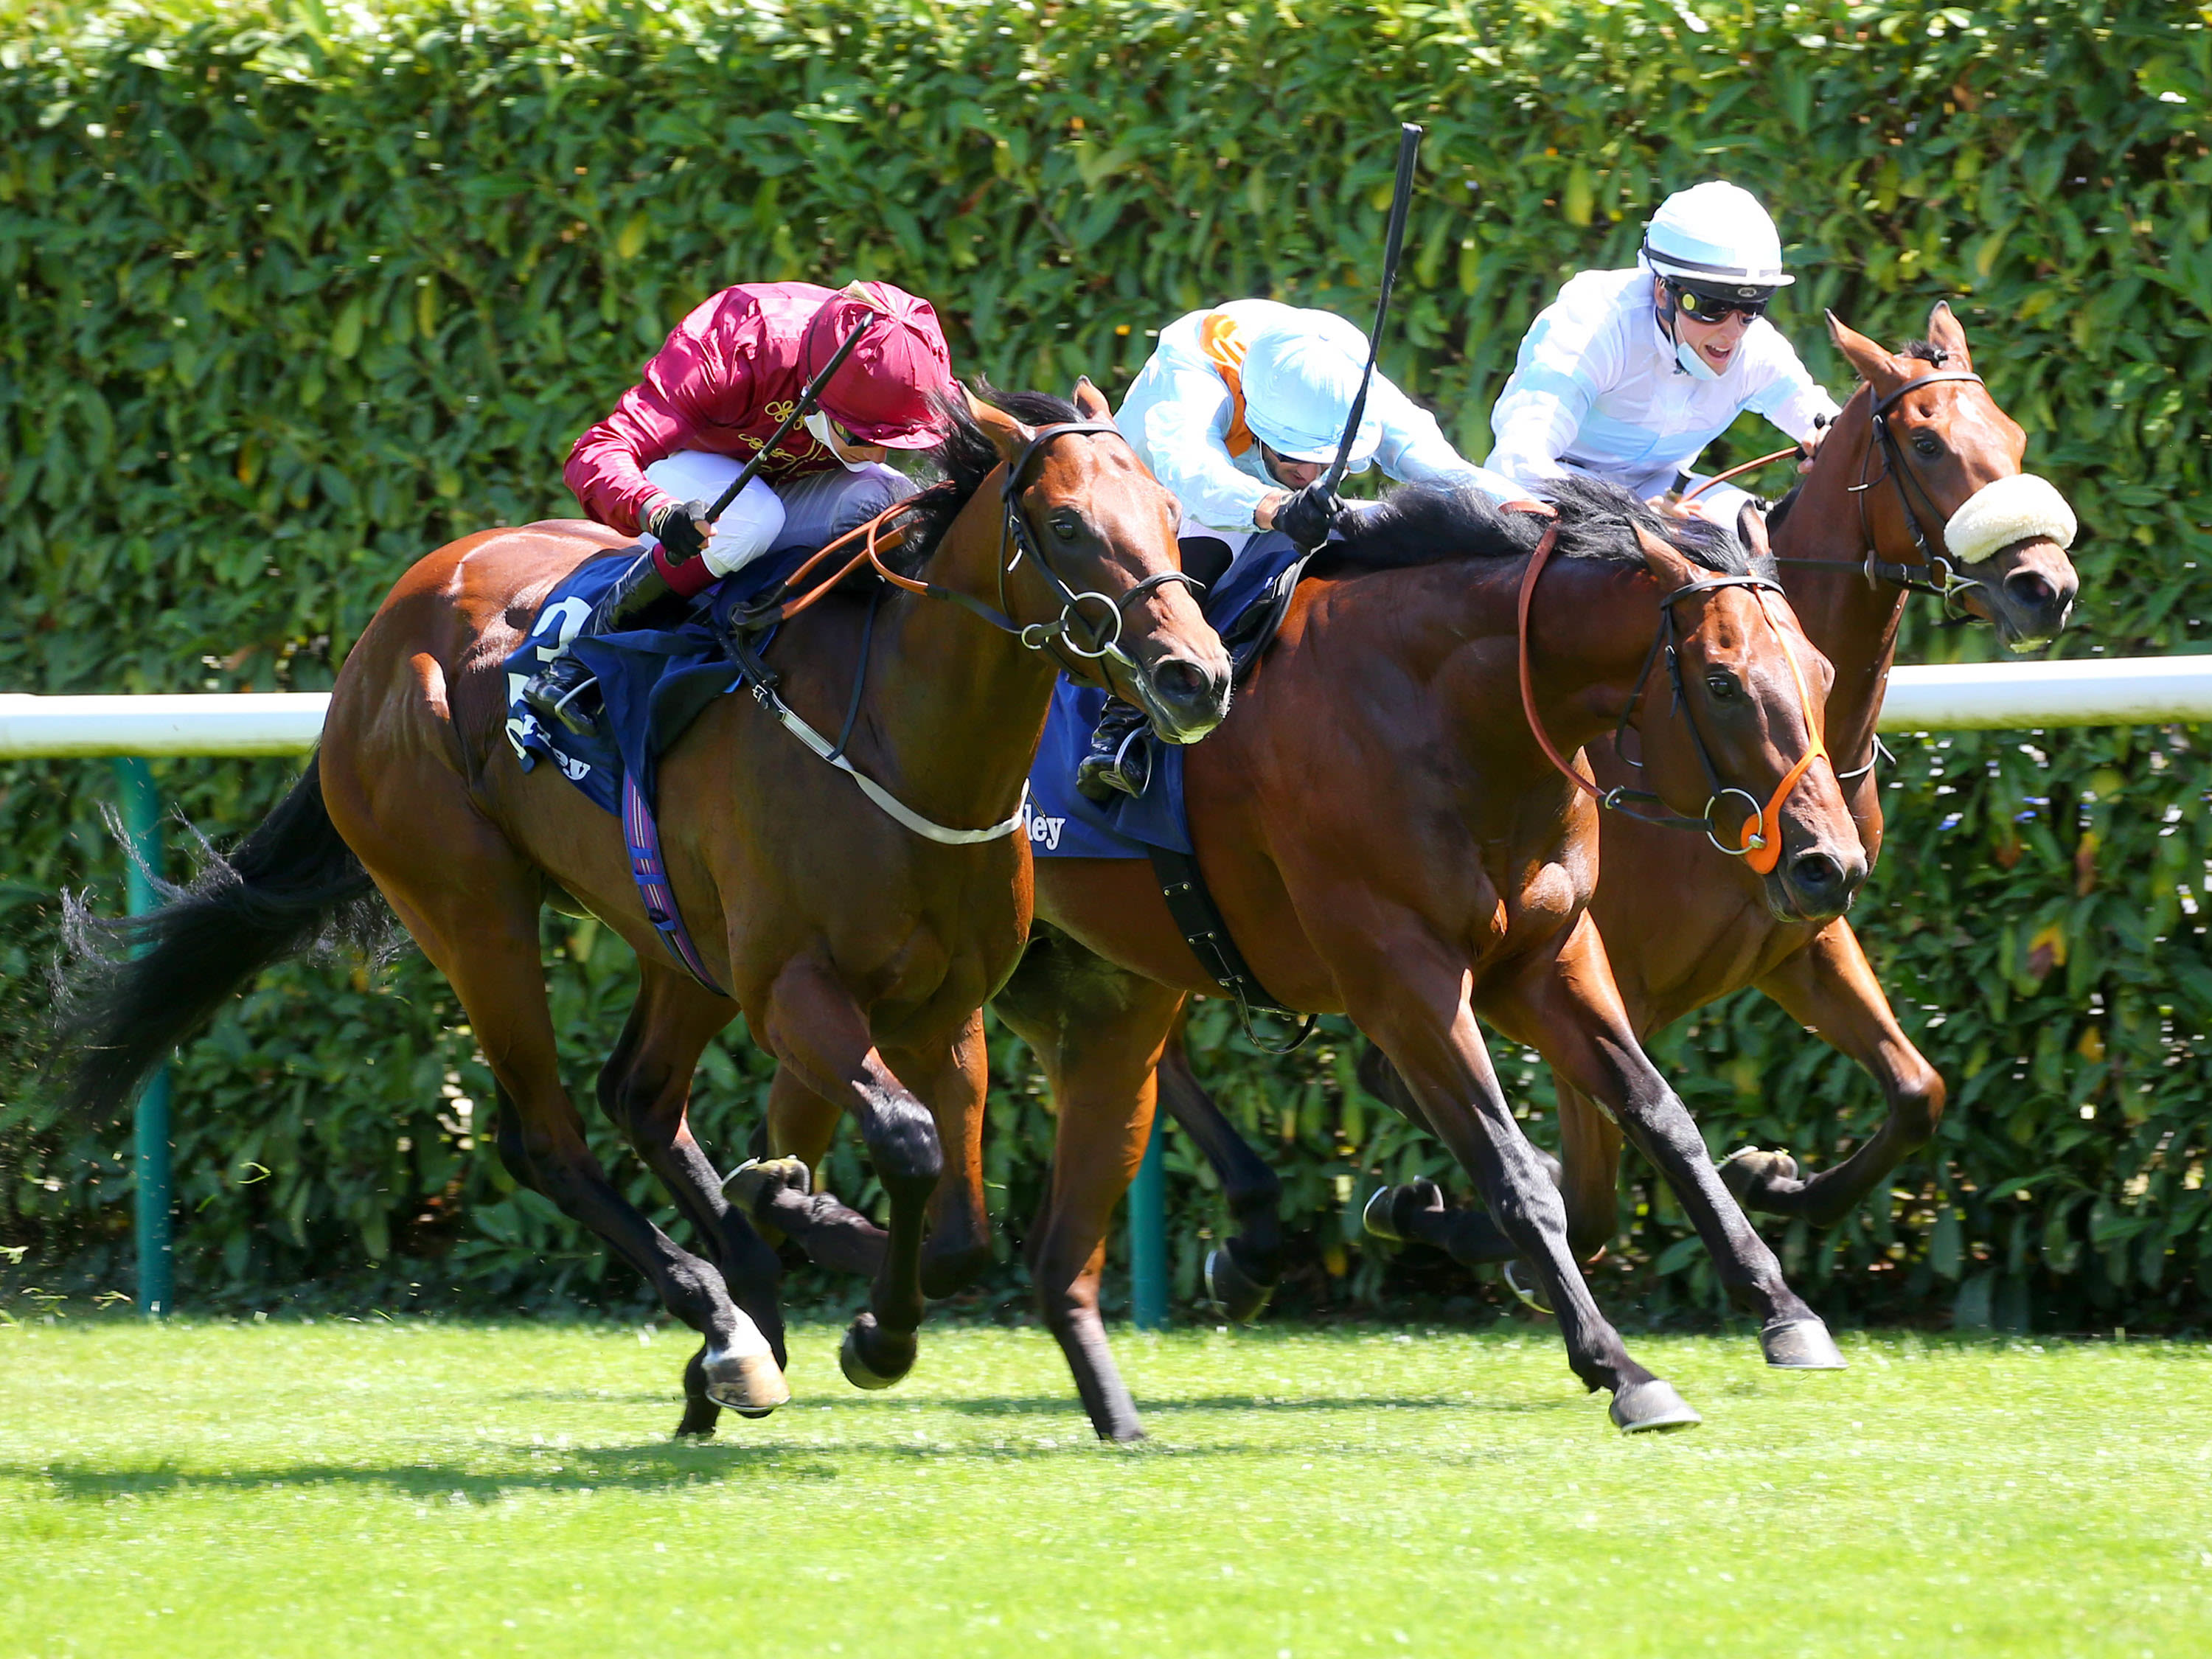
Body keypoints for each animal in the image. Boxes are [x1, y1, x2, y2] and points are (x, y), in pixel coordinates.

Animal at [64, 387, 1230, 1433]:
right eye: (1068, 524)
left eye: (1170, 509)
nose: (1199, 675)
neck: (904, 749)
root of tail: (389, 626)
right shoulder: (795, 992)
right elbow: (905, 1144)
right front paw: (866, 1318)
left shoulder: (944, 1010)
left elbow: (960, 1231)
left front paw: (829, 1254)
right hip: (469, 904)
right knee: (545, 1137)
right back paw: (724, 1318)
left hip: (674, 934)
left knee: (641, 1095)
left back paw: (746, 1303)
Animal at [752, 473, 1876, 1433]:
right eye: (1723, 684)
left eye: (1821, 671)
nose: (1830, 864)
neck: (1445, 710)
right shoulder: (1404, 974)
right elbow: (1516, 1171)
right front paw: (1622, 1367)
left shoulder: (1550, 955)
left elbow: (1663, 1116)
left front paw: (1781, 1305)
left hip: (1065, 957)